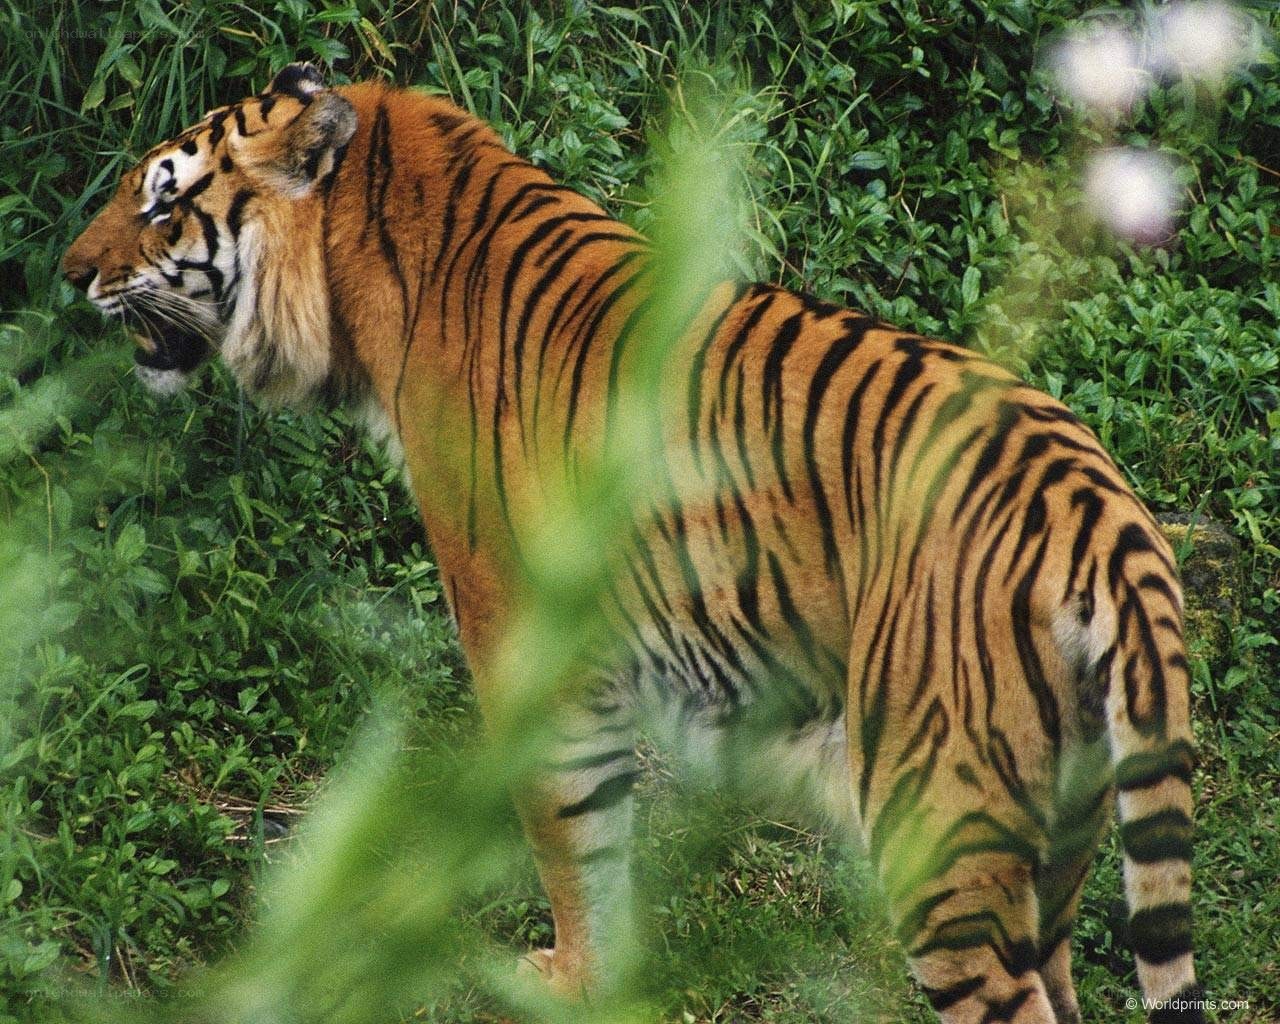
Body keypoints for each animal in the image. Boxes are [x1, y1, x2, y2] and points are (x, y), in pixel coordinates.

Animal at [63, 63, 1205, 1023]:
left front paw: (571, 980)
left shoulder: (526, 646)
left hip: (940, 826)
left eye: (162, 200)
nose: (71, 273)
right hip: (1062, 832)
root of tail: (1101, 510)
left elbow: (575, 840)